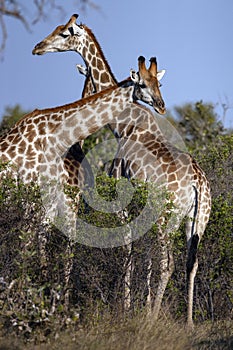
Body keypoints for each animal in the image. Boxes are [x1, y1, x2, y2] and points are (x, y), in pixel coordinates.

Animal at [31, 14, 211, 326]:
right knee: (192, 261)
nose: (38, 47)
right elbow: (143, 252)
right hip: (197, 219)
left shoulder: (120, 194)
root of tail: (198, 184)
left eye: (65, 33)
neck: (122, 125)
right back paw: (188, 321)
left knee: (168, 262)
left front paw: (127, 307)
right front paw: (139, 304)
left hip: (167, 215)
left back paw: (153, 318)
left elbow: (127, 245)